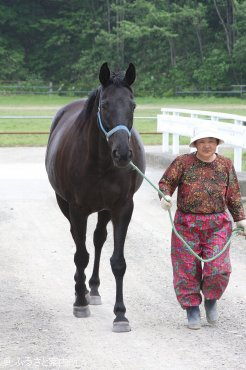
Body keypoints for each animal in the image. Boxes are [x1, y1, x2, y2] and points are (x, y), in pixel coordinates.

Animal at [45, 63, 145, 332]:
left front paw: (120, 315)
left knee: (99, 239)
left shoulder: (123, 208)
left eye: (132, 105)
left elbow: (118, 262)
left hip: (104, 210)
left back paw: (94, 288)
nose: (123, 154)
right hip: (66, 206)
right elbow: (81, 255)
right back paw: (80, 290)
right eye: (105, 105)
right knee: (79, 241)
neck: (100, 162)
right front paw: (80, 302)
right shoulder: (77, 208)